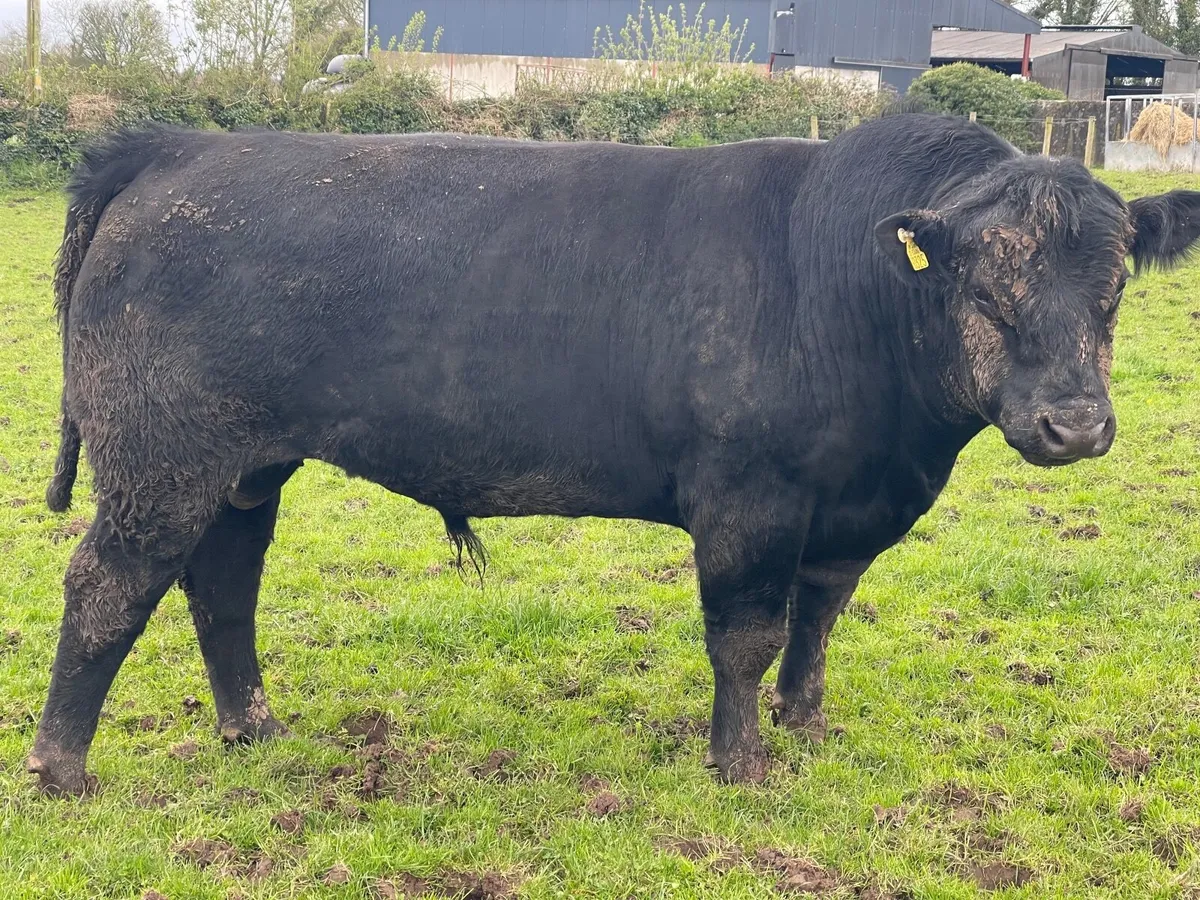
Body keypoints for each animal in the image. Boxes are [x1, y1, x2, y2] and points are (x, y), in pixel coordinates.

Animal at [28, 114, 1200, 796]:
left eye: (1116, 288)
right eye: (987, 289)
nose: (1075, 426)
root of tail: (179, 144)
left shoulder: (846, 513)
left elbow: (817, 621)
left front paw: (807, 725)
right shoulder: (747, 498)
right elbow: (745, 635)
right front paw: (743, 764)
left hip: (242, 469)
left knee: (222, 587)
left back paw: (254, 730)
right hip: (159, 460)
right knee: (106, 589)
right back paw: (61, 769)